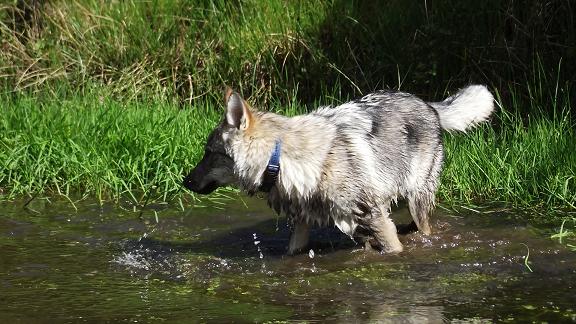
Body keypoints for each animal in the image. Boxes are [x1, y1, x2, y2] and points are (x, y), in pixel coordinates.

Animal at [182, 86, 492, 256]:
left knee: (424, 229)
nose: (185, 181)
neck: (281, 160)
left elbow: (394, 249)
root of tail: (427, 104)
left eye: (209, 154)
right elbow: (293, 250)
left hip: (417, 202)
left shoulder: (375, 216)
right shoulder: (304, 220)